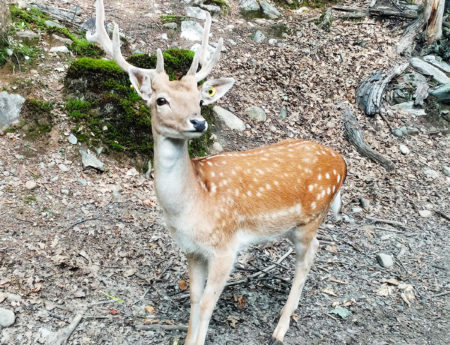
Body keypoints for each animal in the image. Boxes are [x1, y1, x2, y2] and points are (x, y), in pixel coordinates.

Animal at [88, 1, 348, 342]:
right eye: (161, 100)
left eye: (199, 100)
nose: (199, 122)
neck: (192, 205)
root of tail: (342, 162)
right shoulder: (192, 250)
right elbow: (194, 299)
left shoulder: (226, 246)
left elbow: (207, 304)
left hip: (312, 217)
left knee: (309, 255)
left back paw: (280, 328)